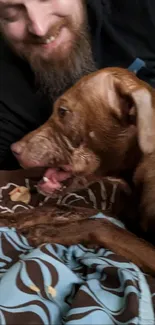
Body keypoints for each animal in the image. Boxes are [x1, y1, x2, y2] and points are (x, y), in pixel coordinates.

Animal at [8, 67, 155, 274]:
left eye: (63, 111)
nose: (14, 150)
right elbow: (62, 208)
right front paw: (16, 218)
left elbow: (103, 225)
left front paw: (49, 231)